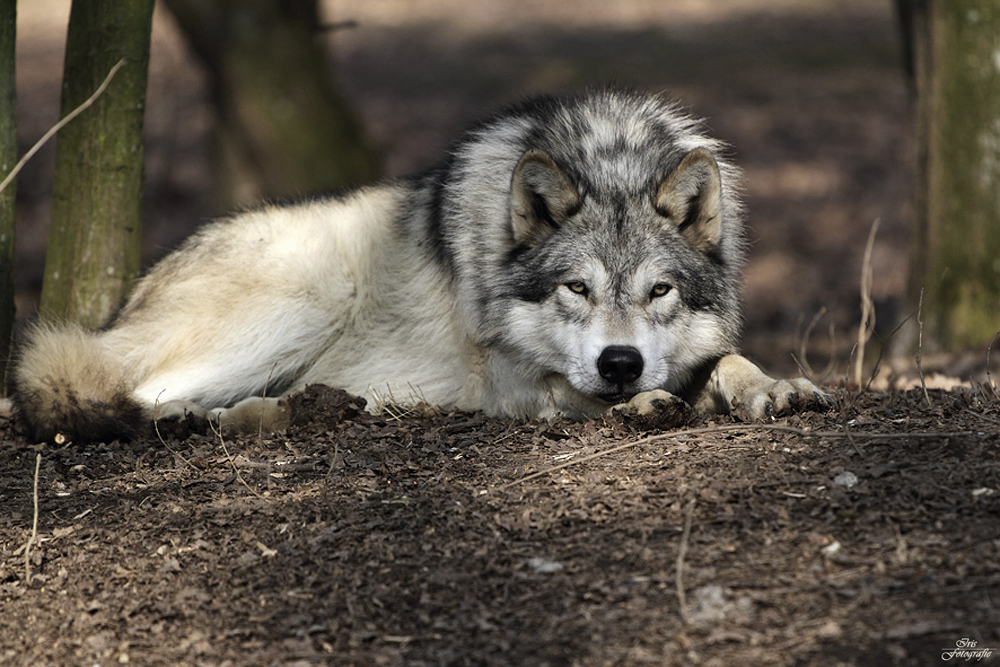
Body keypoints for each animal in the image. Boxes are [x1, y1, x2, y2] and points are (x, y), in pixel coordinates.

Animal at [13, 88, 828, 444]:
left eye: (660, 290)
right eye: (576, 287)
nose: (622, 362)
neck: (608, 155)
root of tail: (133, 295)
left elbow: (726, 359)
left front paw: (774, 386)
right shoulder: (510, 377)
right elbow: (577, 391)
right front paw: (643, 403)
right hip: (310, 295)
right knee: (116, 393)